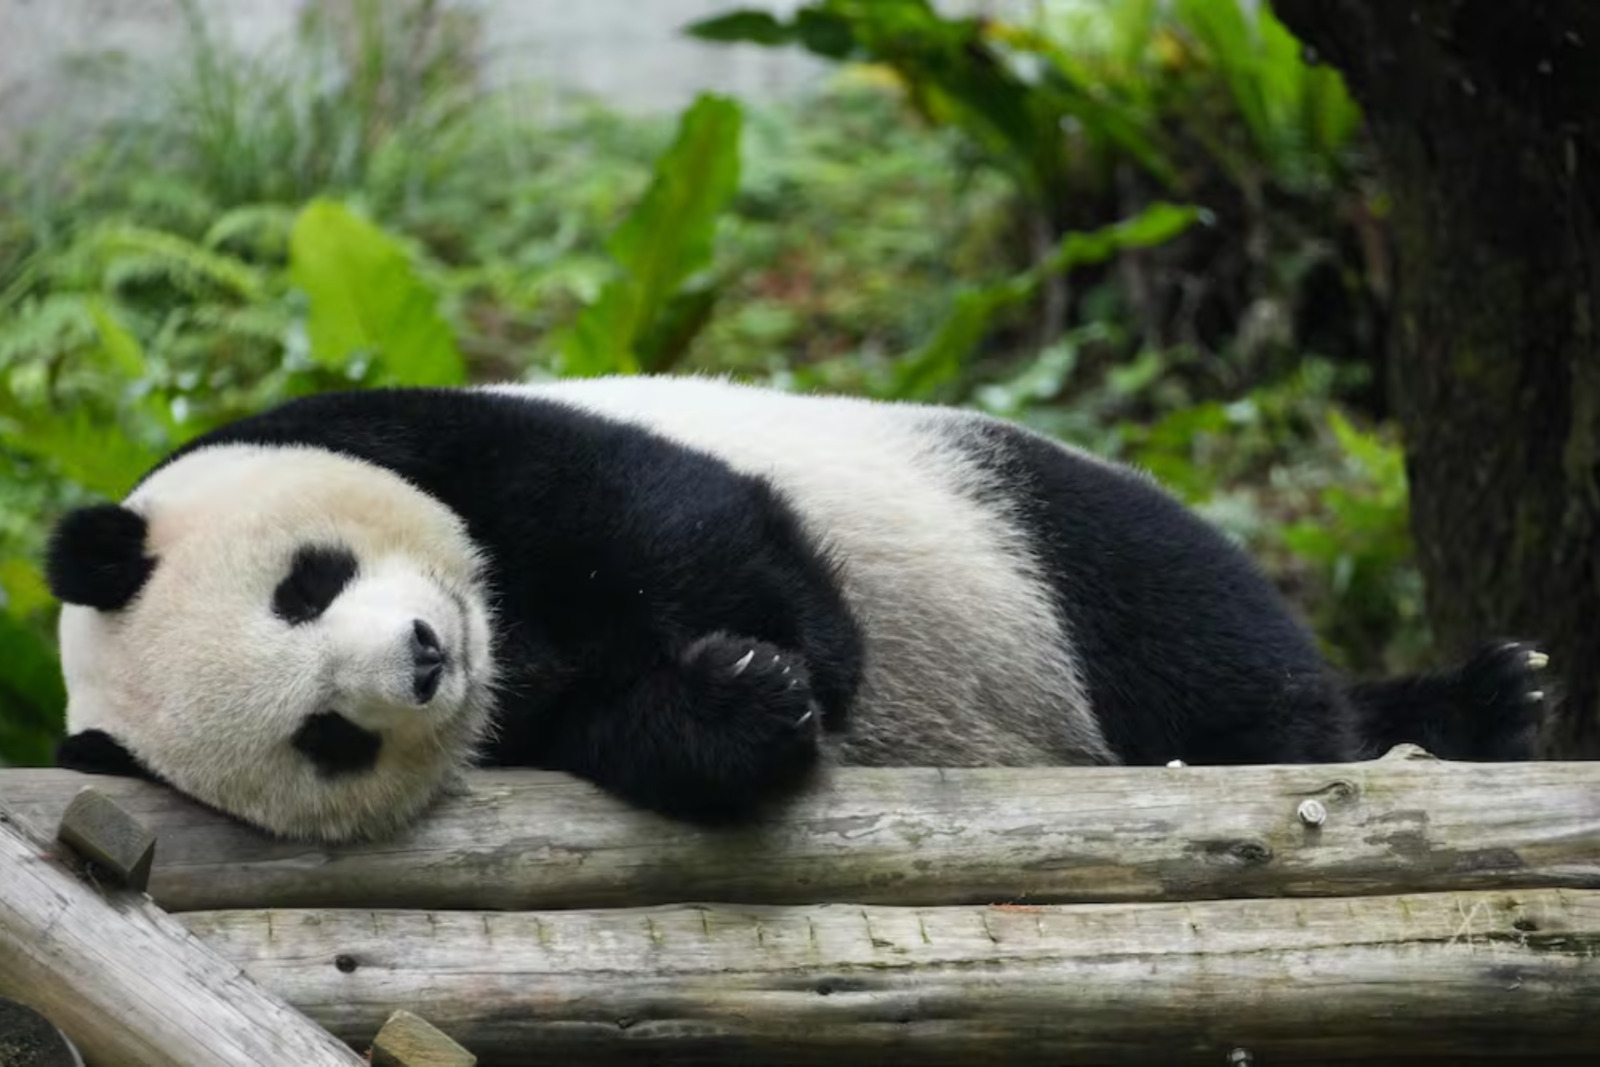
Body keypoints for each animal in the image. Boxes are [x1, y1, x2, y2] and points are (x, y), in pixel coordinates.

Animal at [44, 374, 1548, 842]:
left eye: (306, 581)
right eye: (327, 736)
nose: (423, 659)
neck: (510, 636)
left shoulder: (432, 434)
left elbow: (672, 516)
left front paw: (793, 654)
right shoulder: (525, 727)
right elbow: (632, 732)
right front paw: (742, 699)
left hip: (1005, 522)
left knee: (1193, 640)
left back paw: (1463, 705)